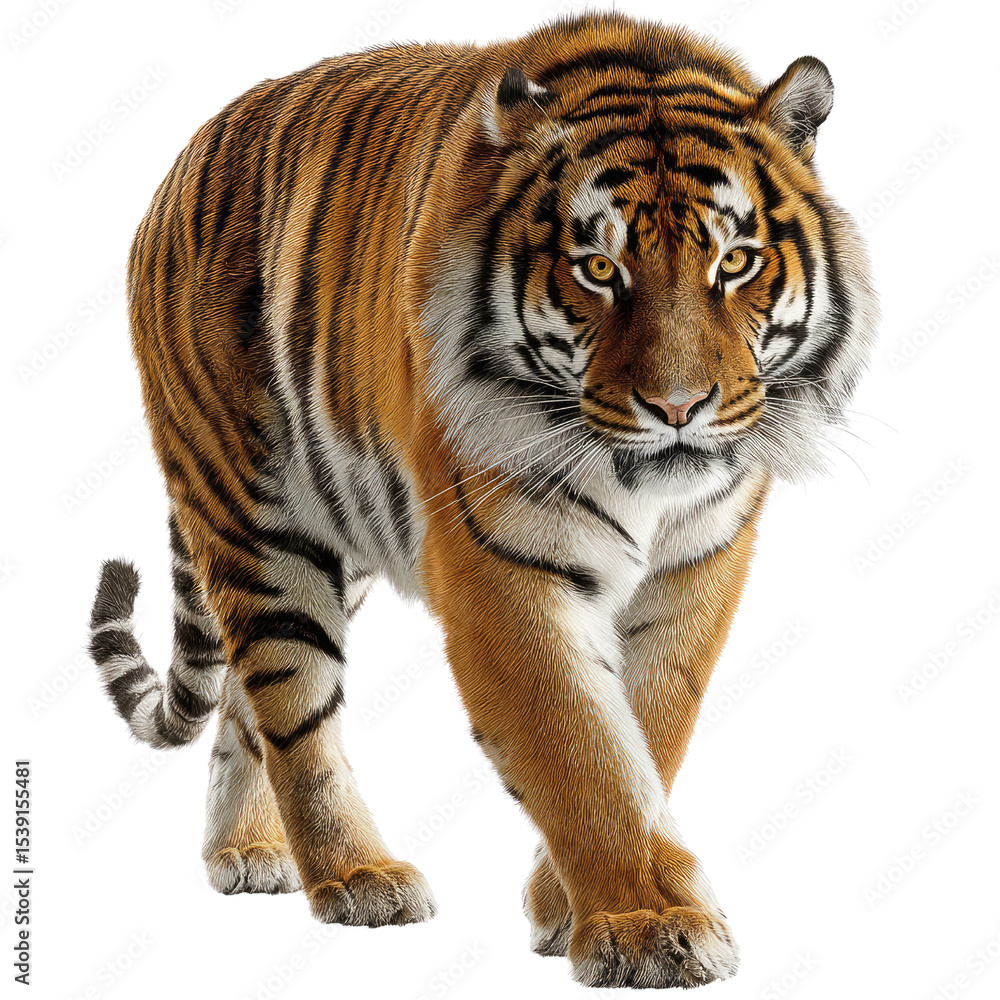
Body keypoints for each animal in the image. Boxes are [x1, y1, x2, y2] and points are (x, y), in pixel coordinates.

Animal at [87, 10, 876, 990]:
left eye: (735, 262)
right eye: (597, 268)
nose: (678, 408)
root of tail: (187, 156)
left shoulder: (699, 565)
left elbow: (650, 728)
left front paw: (565, 906)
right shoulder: (504, 571)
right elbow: (581, 750)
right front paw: (649, 928)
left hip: (335, 528)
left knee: (244, 696)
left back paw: (248, 853)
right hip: (259, 518)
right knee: (291, 703)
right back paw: (356, 876)